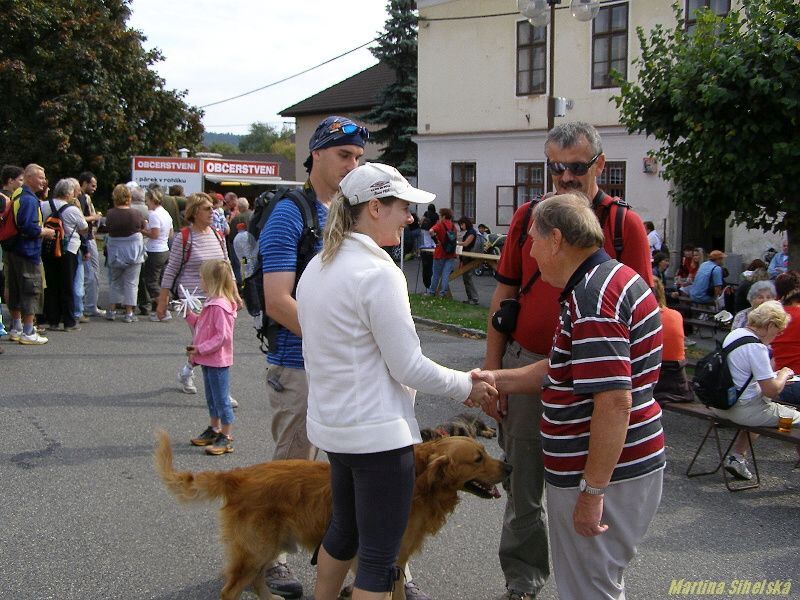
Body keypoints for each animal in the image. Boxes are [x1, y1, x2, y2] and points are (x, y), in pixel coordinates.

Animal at [154, 431, 510, 600]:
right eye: (478, 458)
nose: (508, 466)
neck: (422, 483)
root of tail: (237, 475)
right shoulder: (388, 558)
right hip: (257, 547)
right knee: (231, 590)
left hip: (267, 546)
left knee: (255, 581)